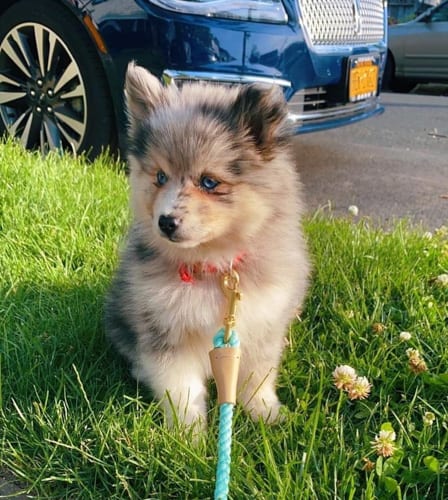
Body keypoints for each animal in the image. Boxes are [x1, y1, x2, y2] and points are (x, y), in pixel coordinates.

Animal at [105, 61, 310, 430]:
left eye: (209, 182)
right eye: (160, 177)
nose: (165, 222)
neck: (212, 264)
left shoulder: (262, 325)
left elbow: (257, 377)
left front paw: (264, 413)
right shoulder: (165, 331)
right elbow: (181, 389)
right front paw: (187, 434)